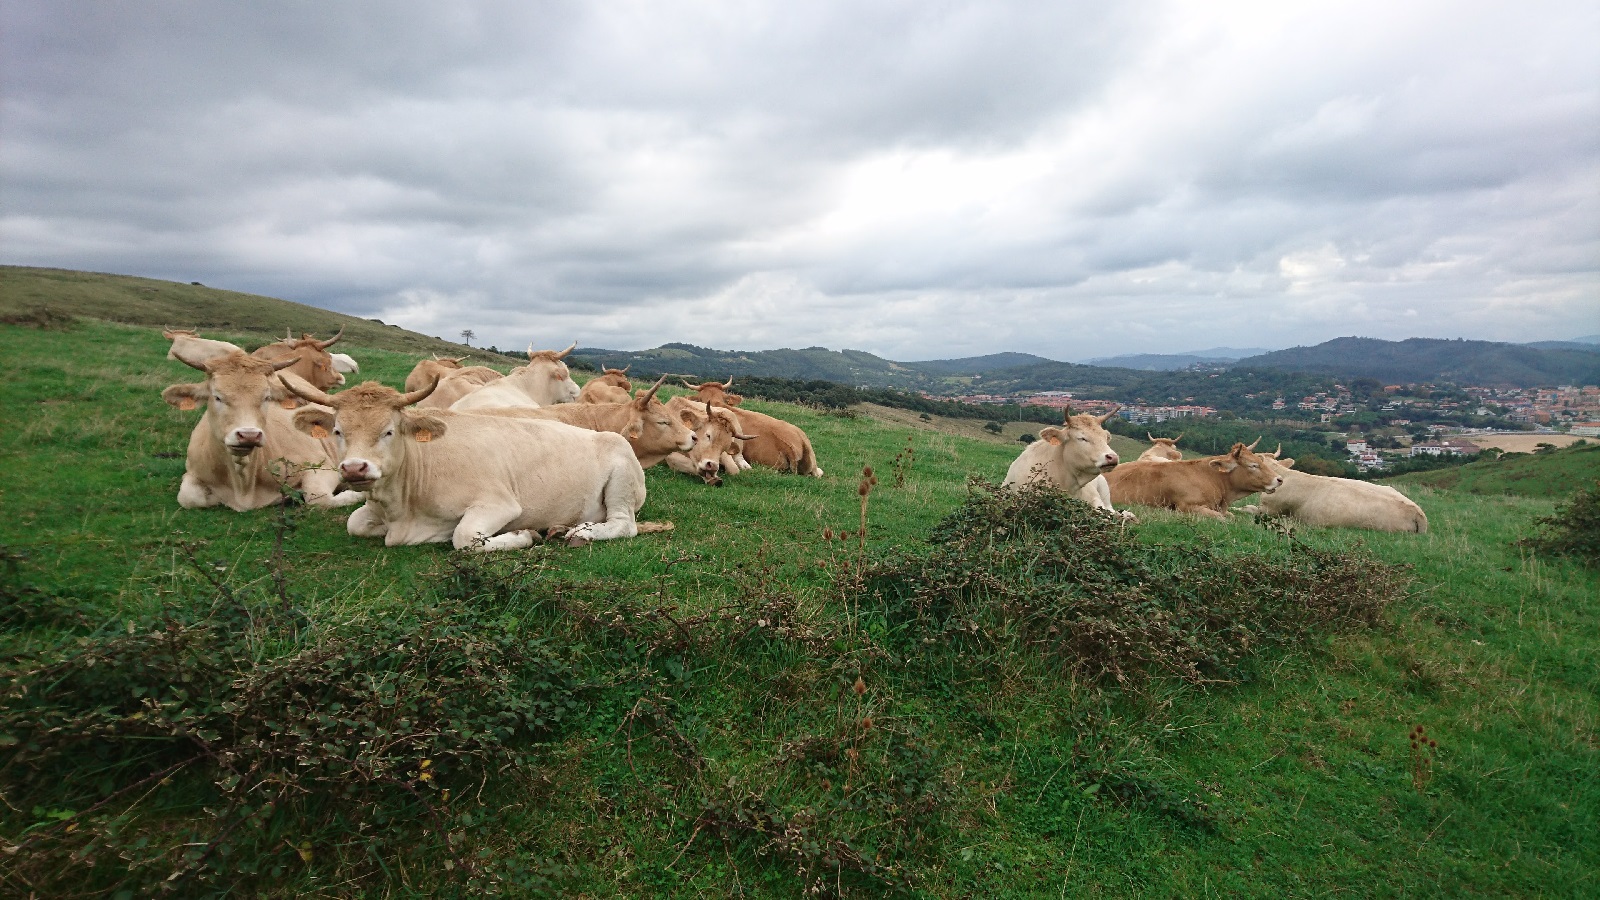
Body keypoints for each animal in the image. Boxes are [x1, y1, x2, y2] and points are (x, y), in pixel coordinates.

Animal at [161, 348, 363, 511]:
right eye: (217, 397)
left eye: (266, 397)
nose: (248, 435)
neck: (243, 486)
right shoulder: (192, 471)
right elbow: (188, 497)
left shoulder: (321, 465)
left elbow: (319, 499)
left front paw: (355, 494)